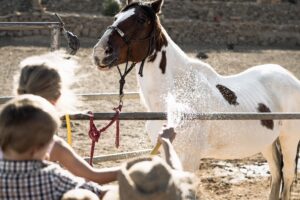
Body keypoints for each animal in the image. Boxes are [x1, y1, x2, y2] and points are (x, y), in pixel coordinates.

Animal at [92, 0, 298, 199]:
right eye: (116, 17)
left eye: (141, 20)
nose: (100, 52)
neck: (175, 98)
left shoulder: (189, 158)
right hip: (268, 143)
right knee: (276, 175)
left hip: (289, 140)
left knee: (286, 176)